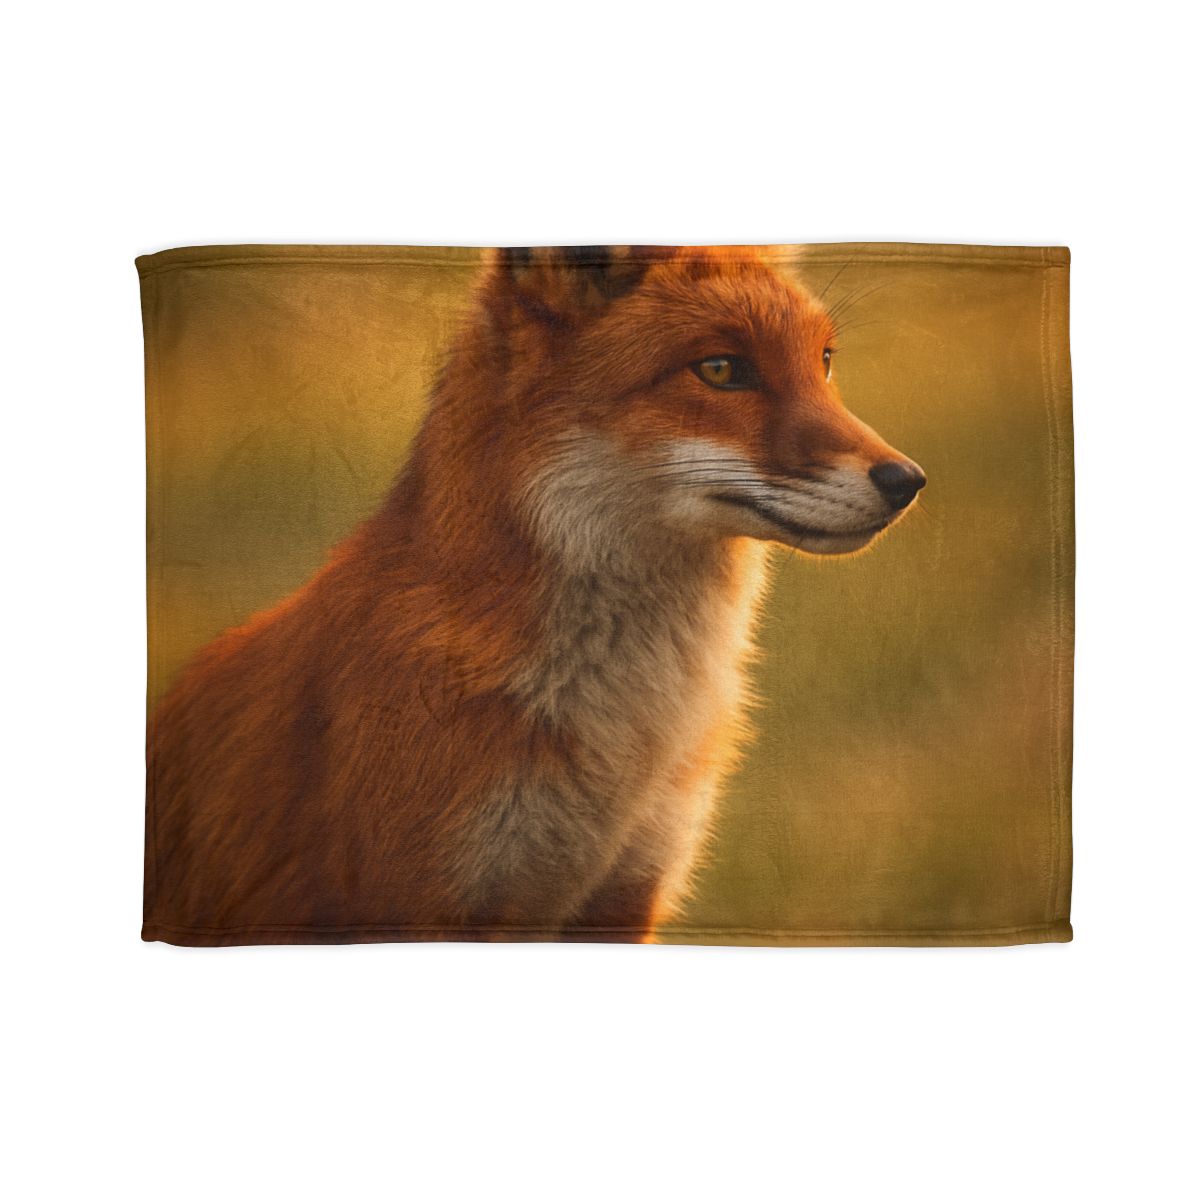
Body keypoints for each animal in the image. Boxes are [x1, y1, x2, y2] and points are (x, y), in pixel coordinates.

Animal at [144, 244, 926, 945]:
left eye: (824, 361)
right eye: (720, 369)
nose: (908, 481)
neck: (626, 733)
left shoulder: (625, 894)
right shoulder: (425, 902)